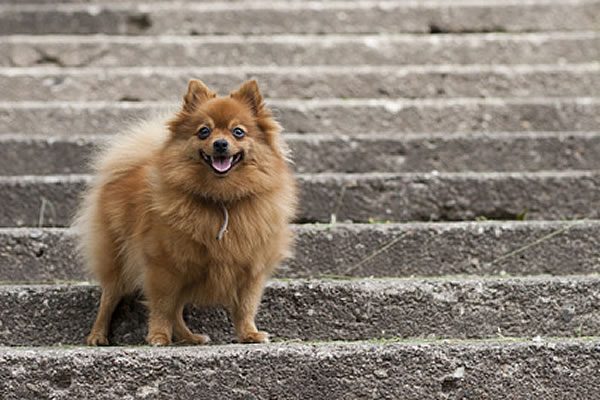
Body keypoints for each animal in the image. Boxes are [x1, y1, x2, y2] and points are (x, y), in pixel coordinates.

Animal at [75, 79, 298, 346]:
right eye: (204, 131)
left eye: (238, 132)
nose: (220, 143)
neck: (221, 200)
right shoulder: (163, 266)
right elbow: (161, 306)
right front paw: (158, 336)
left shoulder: (251, 268)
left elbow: (246, 306)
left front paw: (249, 334)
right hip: (117, 261)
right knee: (109, 299)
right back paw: (97, 335)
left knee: (177, 309)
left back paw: (190, 337)